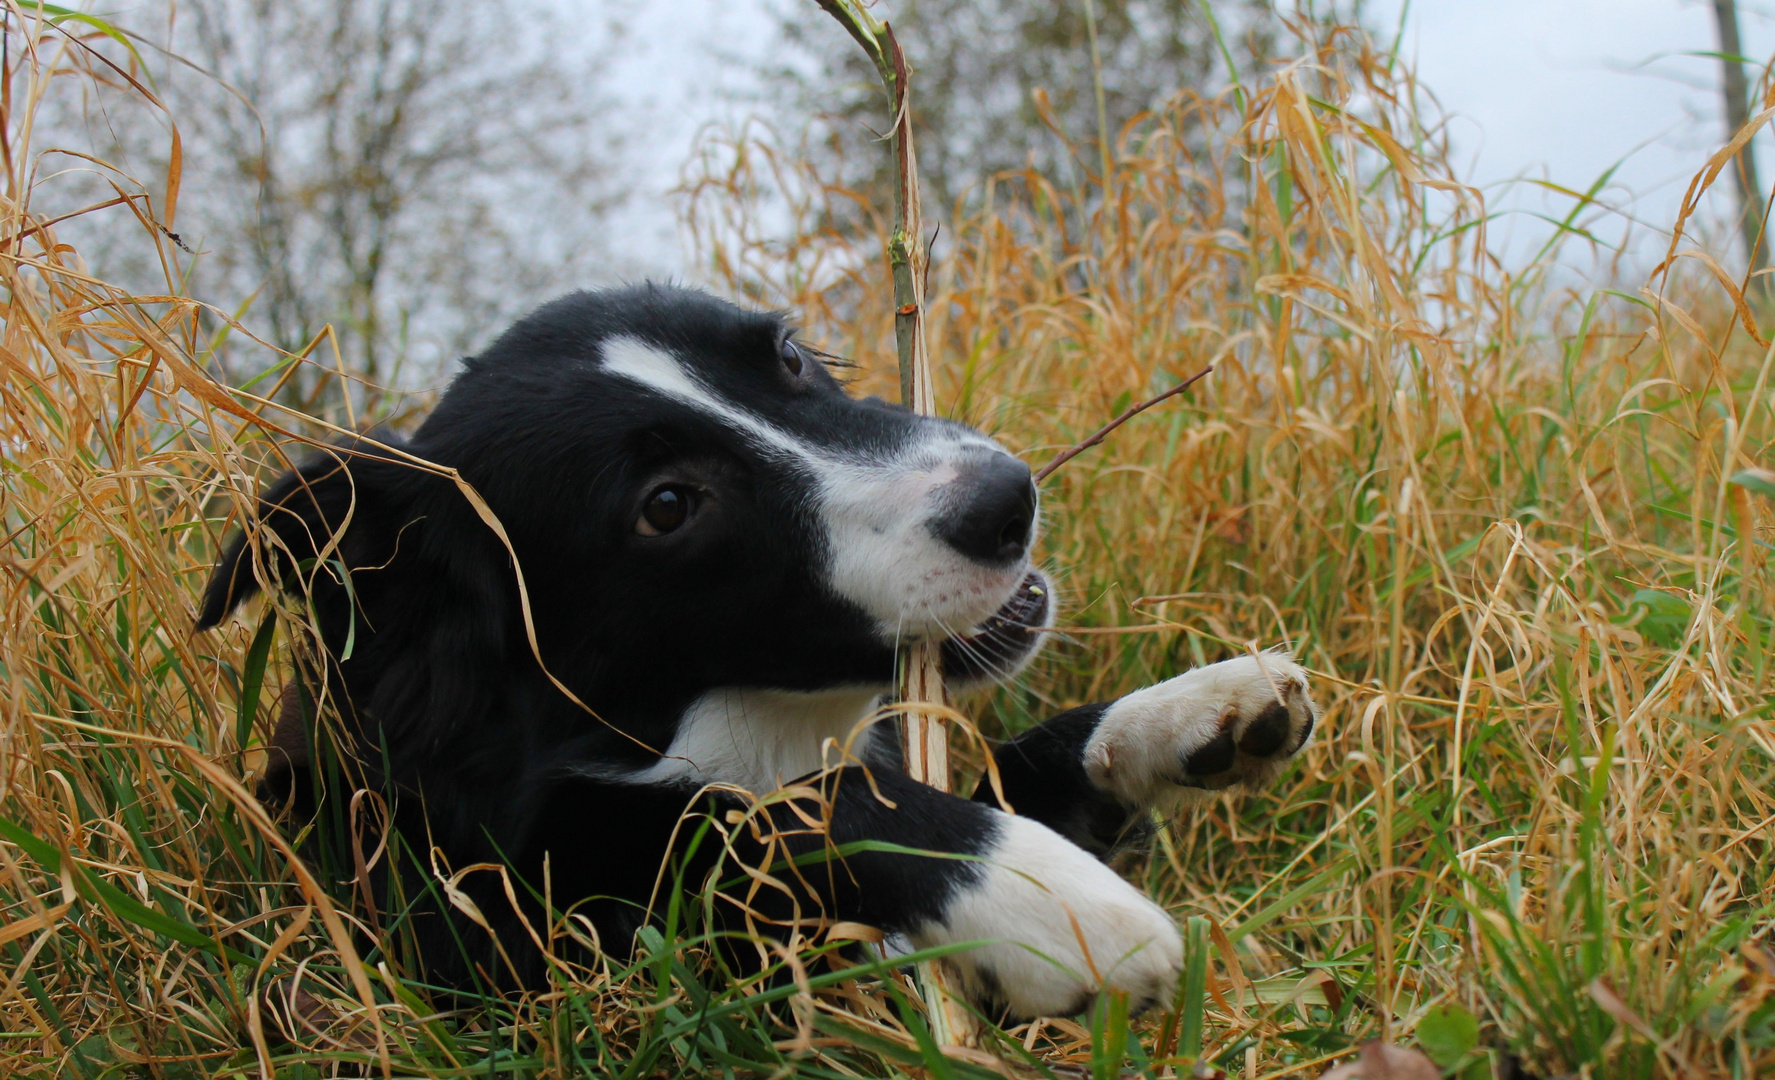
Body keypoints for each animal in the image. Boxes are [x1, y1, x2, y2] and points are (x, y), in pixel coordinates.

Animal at [197, 282, 1320, 1016]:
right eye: (666, 505)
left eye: (784, 356)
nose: (1007, 500)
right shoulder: (525, 919)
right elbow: (776, 811)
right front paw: (1049, 898)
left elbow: (1022, 754)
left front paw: (1193, 710)